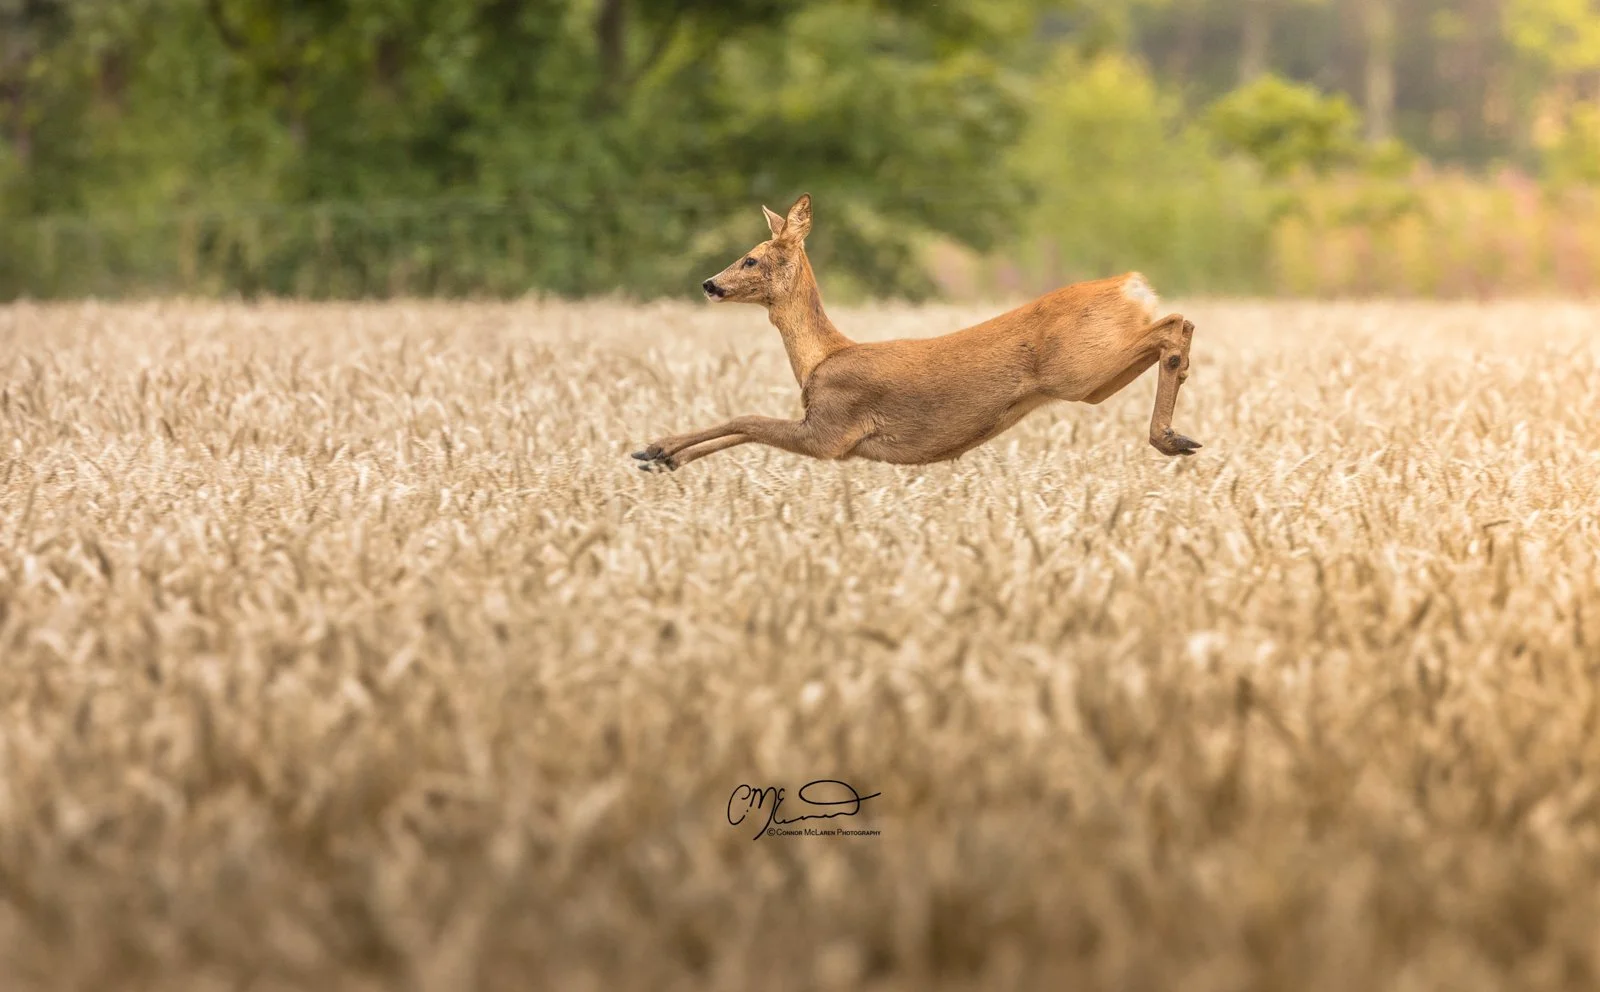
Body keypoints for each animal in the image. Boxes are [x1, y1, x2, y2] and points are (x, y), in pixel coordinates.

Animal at [632, 193, 1200, 473]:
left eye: (750, 258)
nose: (709, 283)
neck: (820, 358)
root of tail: (1131, 285)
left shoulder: (832, 430)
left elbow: (746, 418)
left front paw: (656, 448)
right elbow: (745, 426)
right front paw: (661, 460)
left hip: (1078, 370)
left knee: (1174, 323)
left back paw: (1170, 435)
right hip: (1093, 376)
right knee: (1176, 323)